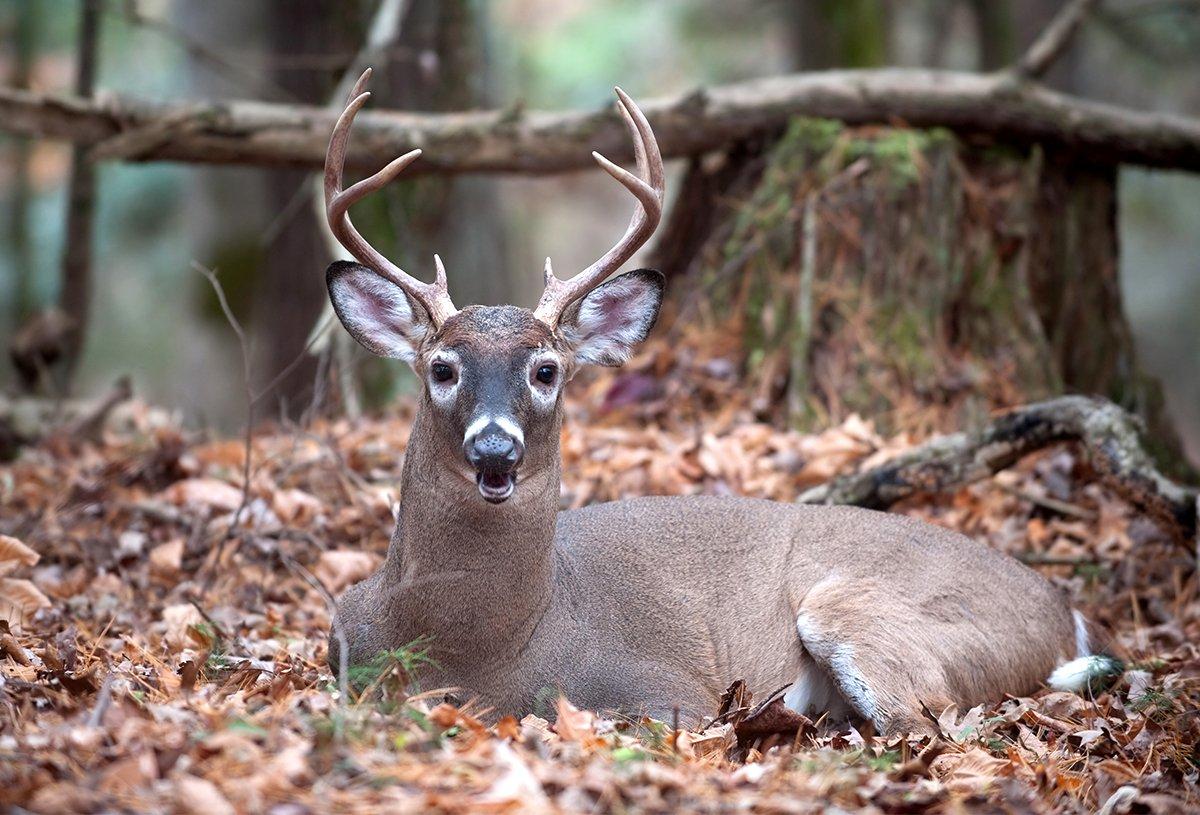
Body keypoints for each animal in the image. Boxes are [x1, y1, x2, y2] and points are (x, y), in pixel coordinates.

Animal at [321, 68, 1113, 734]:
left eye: (547, 370)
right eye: (441, 367)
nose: (494, 448)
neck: (475, 653)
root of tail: (1063, 608)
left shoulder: (669, 690)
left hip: (866, 612)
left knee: (923, 724)